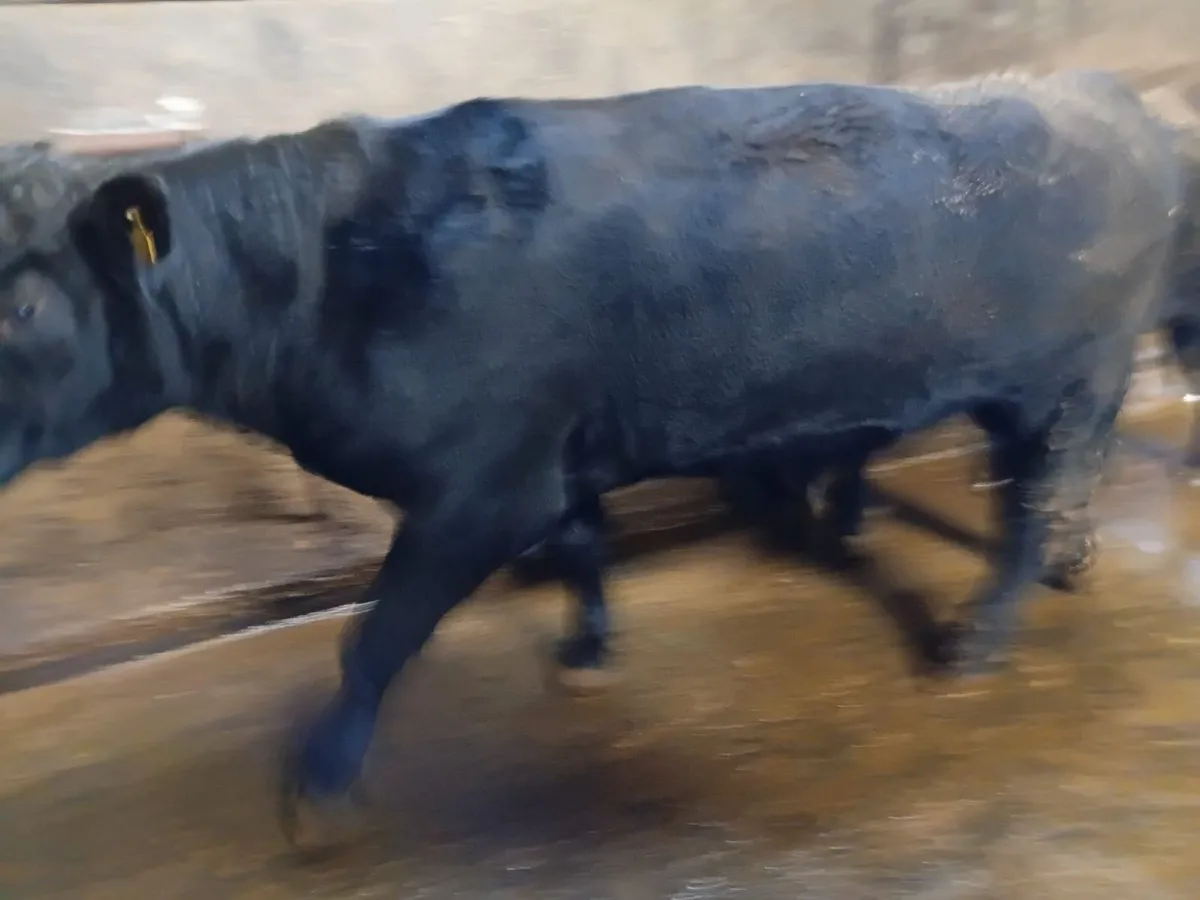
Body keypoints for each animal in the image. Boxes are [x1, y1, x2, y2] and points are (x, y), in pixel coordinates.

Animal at [0, 71, 1183, 851]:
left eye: (23, 301)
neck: (332, 270)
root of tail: (1109, 100)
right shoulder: (545, 455)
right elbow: (579, 543)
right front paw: (586, 648)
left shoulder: (476, 485)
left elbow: (373, 641)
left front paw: (320, 785)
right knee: (1062, 488)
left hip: (1060, 383)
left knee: (1031, 508)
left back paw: (976, 643)